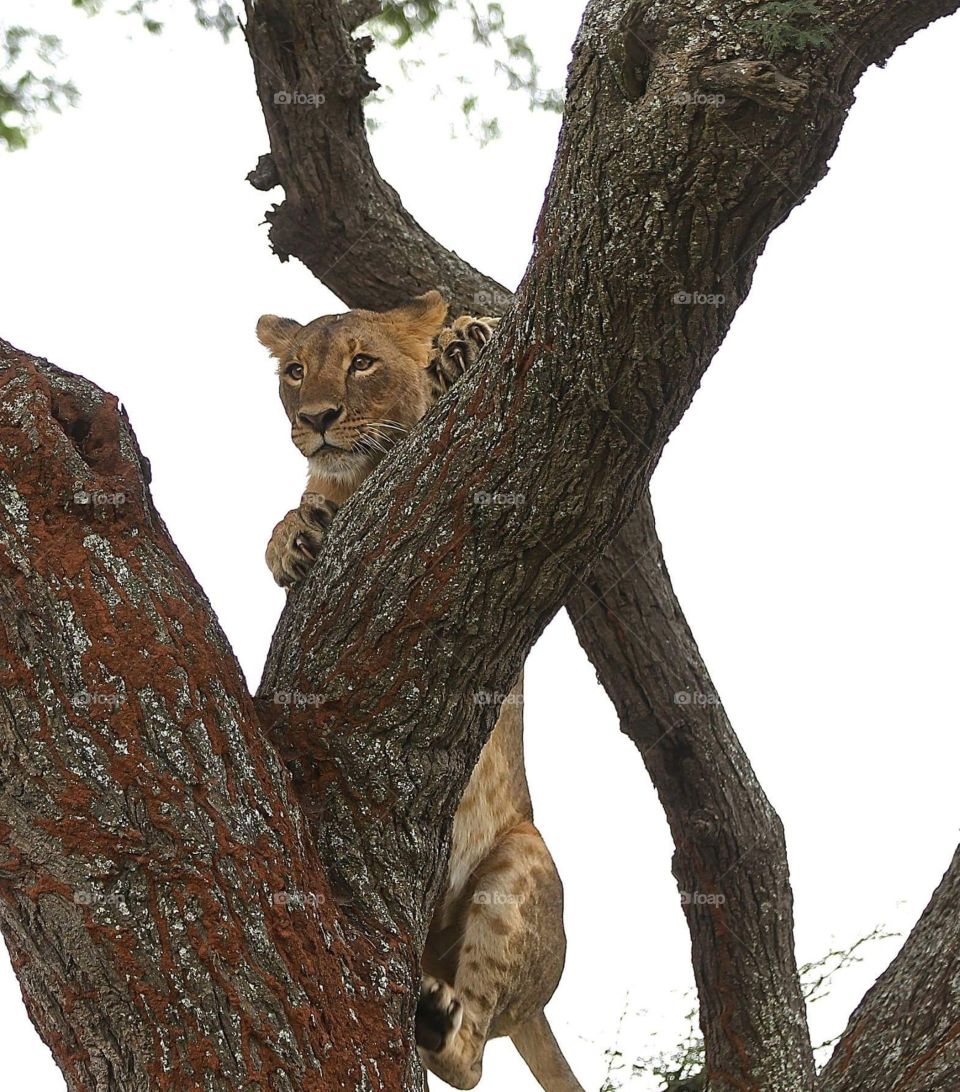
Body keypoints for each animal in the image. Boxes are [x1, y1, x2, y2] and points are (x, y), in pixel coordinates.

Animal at [257, 291, 584, 1091]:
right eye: (295, 371)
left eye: (363, 362)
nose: (316, 417)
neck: (359, 476)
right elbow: (294, 517)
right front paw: (293, 537)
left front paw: (465, 341)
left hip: (519, 866)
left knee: (472, 1057)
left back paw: (439, 1022)